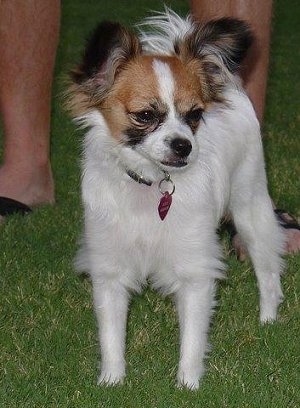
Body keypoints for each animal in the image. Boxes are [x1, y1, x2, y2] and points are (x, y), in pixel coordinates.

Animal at [67, 8, 284, 388]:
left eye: (195, 115)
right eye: (145, 115)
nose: (183, 145)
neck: (149, 186)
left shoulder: (195, 269)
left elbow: (193, 334)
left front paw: (188, 384)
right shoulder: (109, 268)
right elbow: (111, 333)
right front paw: (112, 381)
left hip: (250, 204)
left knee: (267, 265)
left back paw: (268, 319)